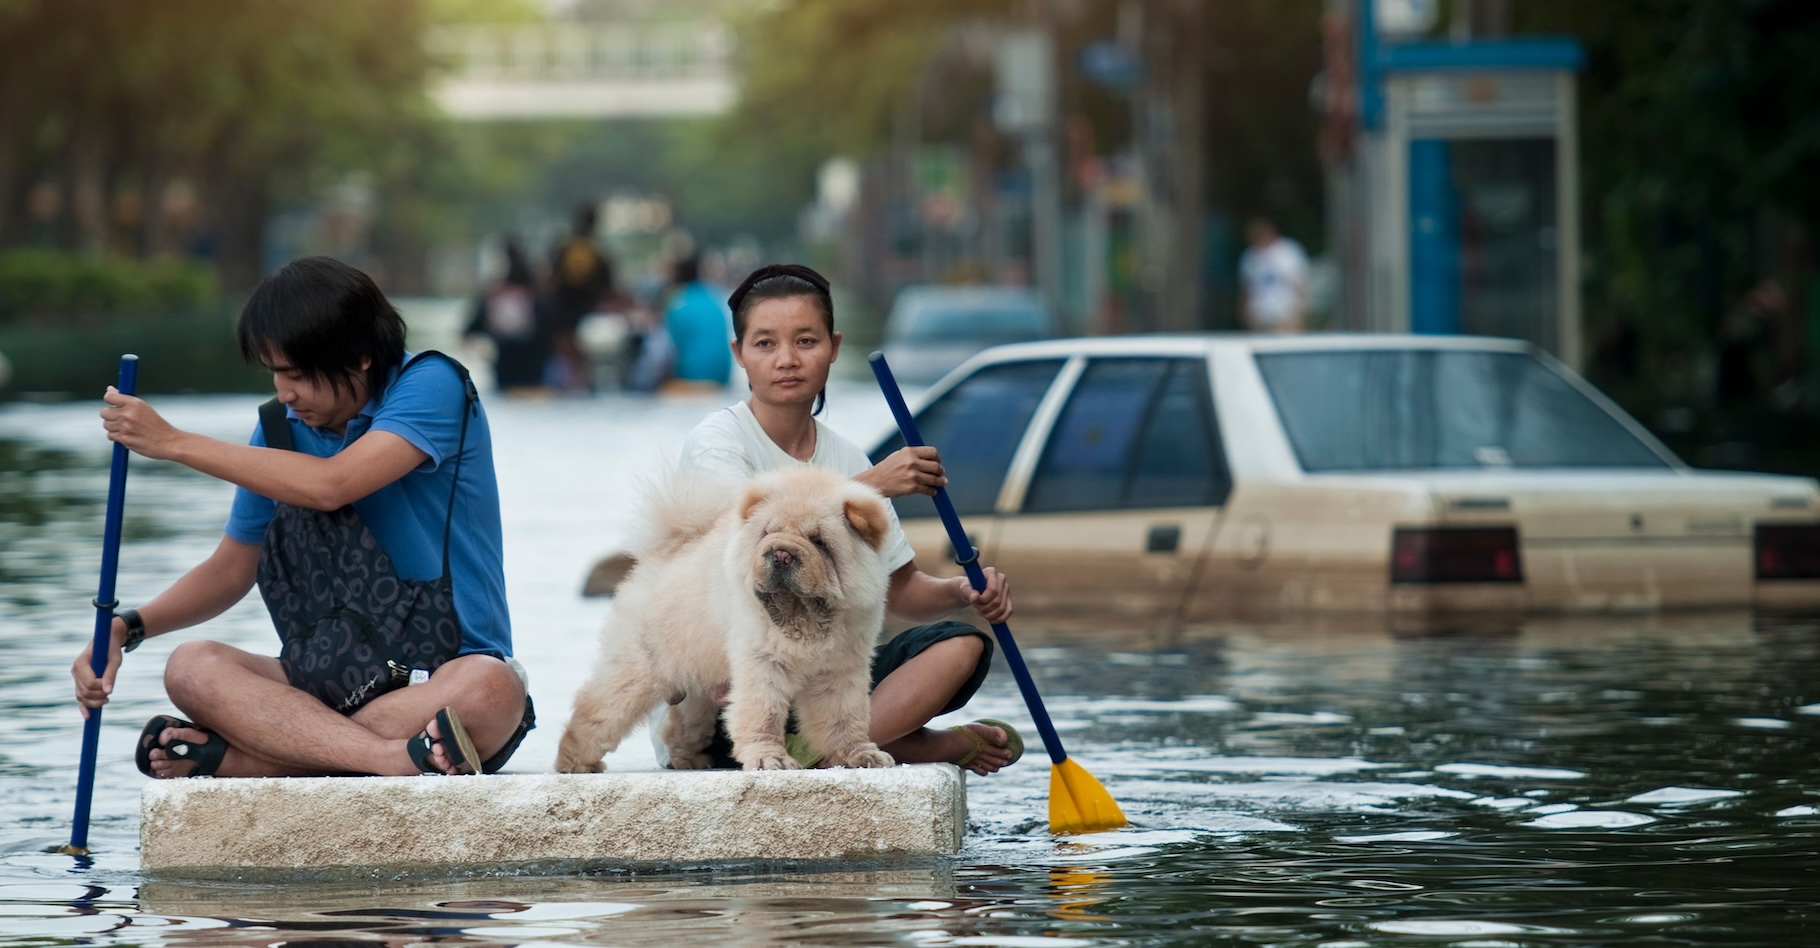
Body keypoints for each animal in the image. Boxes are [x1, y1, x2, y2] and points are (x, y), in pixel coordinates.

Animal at [553, 463, 895, 767]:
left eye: (818, 541)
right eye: (768, 533)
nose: (781, 553)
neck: (804, 618)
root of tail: (665, 552)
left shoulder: (841, 670)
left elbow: (844, 718)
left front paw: (861, 755)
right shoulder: (762, 662)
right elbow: (763, 712)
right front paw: (769, 759)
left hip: (695, 680)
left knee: (681, 725)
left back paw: (690, 759)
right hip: (634, 674)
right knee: (593, 713)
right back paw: (574, 764)